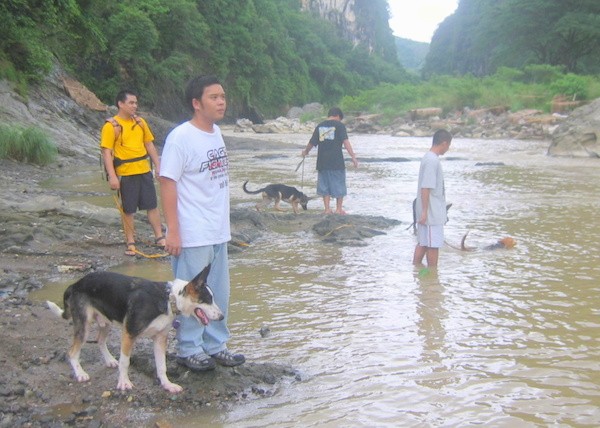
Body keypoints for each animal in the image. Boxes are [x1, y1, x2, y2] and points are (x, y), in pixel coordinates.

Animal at [45, 266, 223, 392]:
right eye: (208, 300)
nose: (221, 317)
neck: (167, 298)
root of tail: (75, 284)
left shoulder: (160, 339)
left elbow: (161, 366)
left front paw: (167, 384)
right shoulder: (129, 334)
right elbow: (125, 361)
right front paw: (123, 382)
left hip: (106, 322)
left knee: (100, 341)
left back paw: (109, 360)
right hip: (84, 325)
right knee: (72, 352)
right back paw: (80, 373)